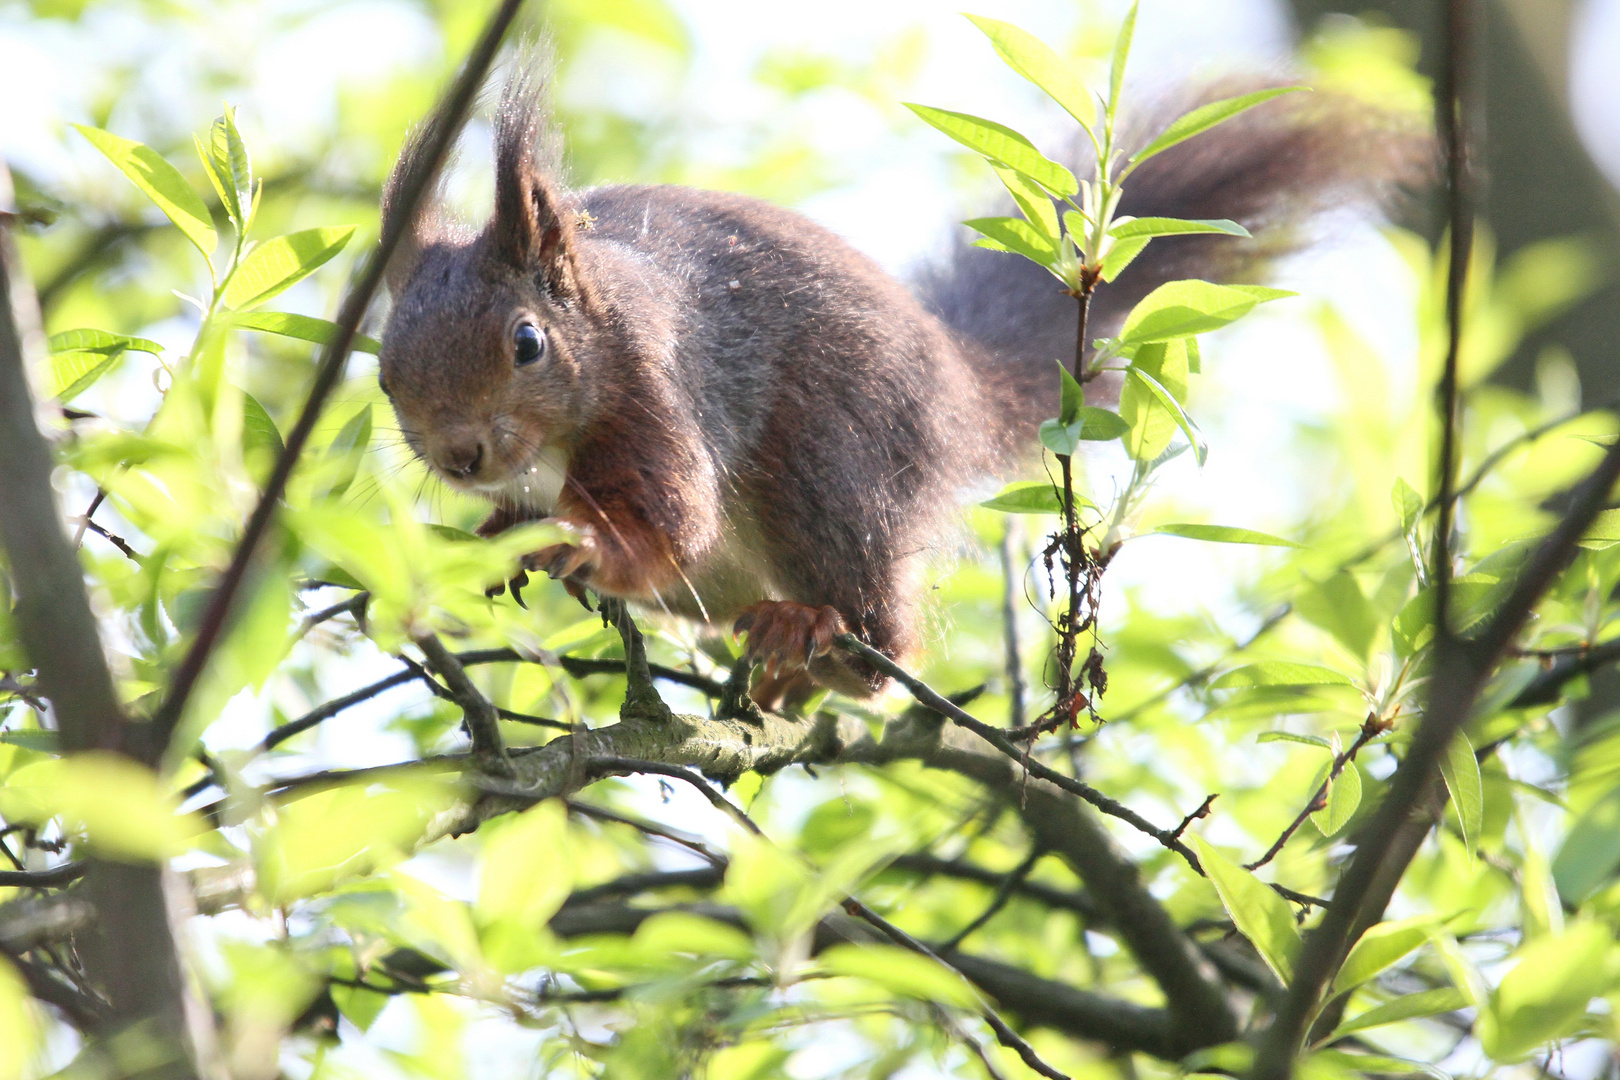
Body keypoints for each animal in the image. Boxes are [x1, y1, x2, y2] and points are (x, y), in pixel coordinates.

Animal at [372, 59, 1425, 705]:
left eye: (527, 343)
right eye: (383, 375)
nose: (462, 454)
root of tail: (958, 383)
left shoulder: (656, 393)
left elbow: (671, 521)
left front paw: (587, 540)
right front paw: (496, 537)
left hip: (828, 473)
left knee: (880, 635)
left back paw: (815, 633)